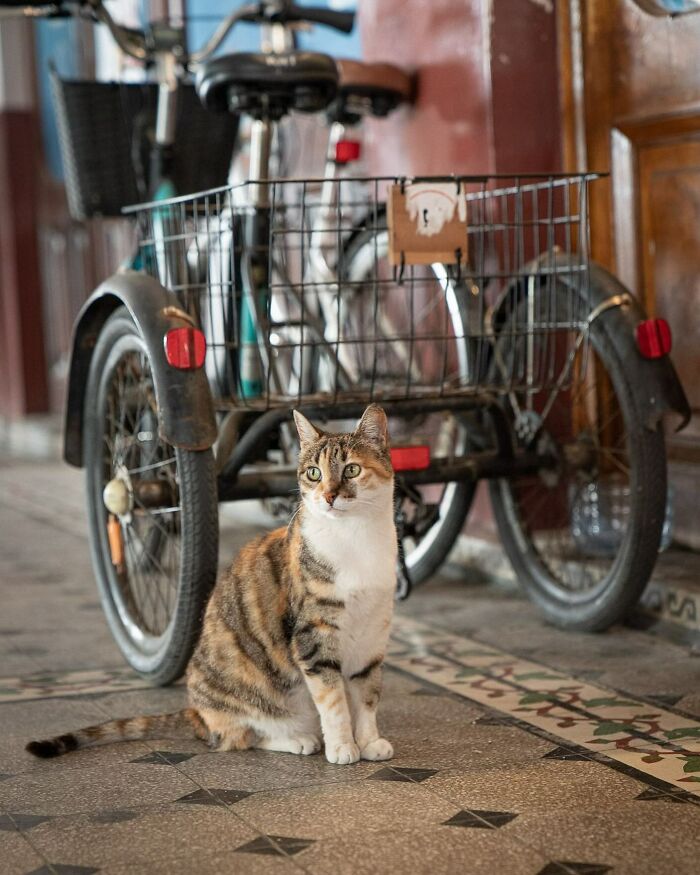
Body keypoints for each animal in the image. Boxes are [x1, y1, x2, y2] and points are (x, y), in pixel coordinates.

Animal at [26, 406, 400, 768]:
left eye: (351, 470)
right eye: (313, 474)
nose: (329, 496)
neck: (355, 538)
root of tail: (197, 712)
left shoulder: (372, 635)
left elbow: (367, 696)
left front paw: (369, 741)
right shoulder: (314, 635)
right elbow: (333, 700)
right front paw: (343, 747)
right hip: (244, 695)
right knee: (238, 737)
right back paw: (299, 739)